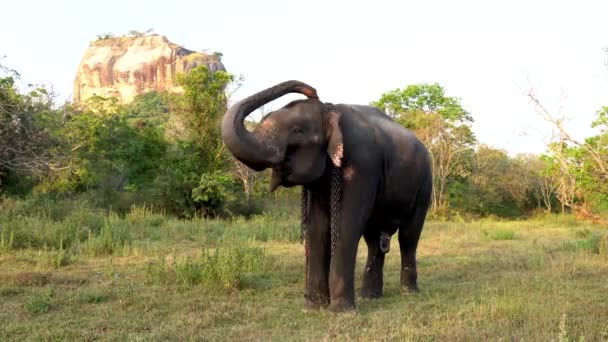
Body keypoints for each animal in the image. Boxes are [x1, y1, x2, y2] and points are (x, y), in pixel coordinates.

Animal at [223, 80, 432, 312]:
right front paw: (313, 308)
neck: (330, 112)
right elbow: (318, 226)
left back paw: (409, 293)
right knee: (374, 241)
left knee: (409, 237)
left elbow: (346, 223)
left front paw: (341, 312)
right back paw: (370, 297)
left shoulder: (362, 164)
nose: (312, 91)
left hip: (424, 185)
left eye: (297, 130)